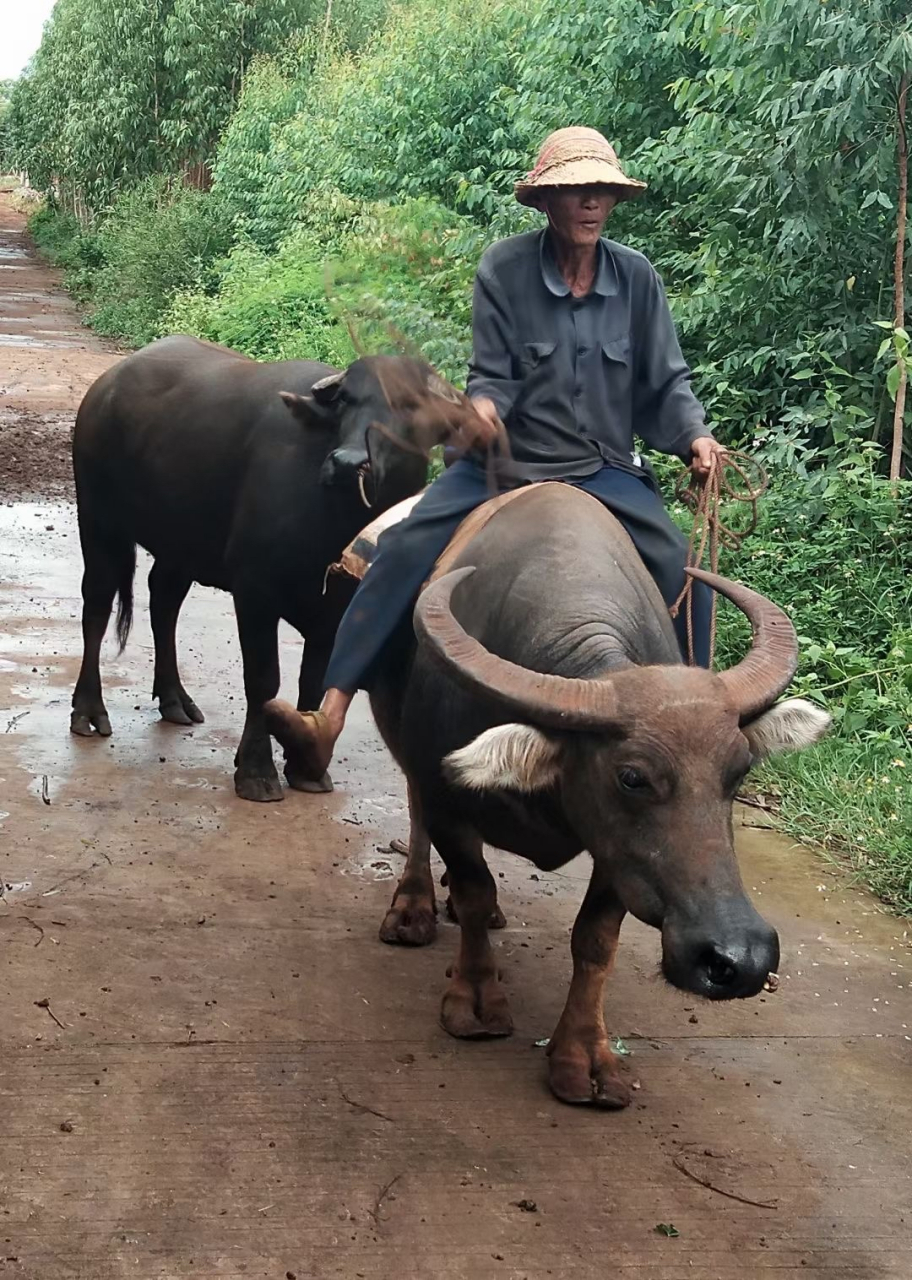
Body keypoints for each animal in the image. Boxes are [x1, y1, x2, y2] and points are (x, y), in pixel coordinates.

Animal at [69, 335, 476, 803]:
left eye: (413, 406)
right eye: (348, 401)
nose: (348, 463)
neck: (334, 521)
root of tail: (104, 387)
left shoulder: (337, 608)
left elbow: (313, 682)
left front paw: (307, 766)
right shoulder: (255, 591)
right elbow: (264, 680)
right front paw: (256, 771)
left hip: (180, 543)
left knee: (164, 602)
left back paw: (174, 700)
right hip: (99, 523)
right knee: (97, 606)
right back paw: (88, 711)